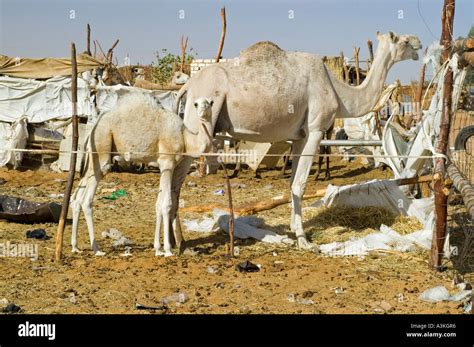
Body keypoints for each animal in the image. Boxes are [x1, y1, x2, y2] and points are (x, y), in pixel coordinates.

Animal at [69, 94, 214, 256]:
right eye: (195, 104)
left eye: (210, 103)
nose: (202, 112)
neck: (185, 137)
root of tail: (92, 129)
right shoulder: (167, 163)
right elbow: (167, 204)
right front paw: (167, 250)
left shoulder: (165, 166)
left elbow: (158, 204)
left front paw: (158, 249)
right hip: (102, 148)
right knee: (86, 199)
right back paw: (97, 249)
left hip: (93, 157)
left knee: (77, 197)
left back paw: (75, 247)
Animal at [173, 32, 422, 250]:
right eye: (403, 40)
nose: (419, 43)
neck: (339, 92)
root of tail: (187, 86)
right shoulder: (315, 130)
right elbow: (300, 184)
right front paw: (304, 240)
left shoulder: (299, 136)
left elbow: (292, 181)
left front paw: (294, 228)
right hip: (199, 122)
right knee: (176, 181)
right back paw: (179, 244)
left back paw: (179, 242)